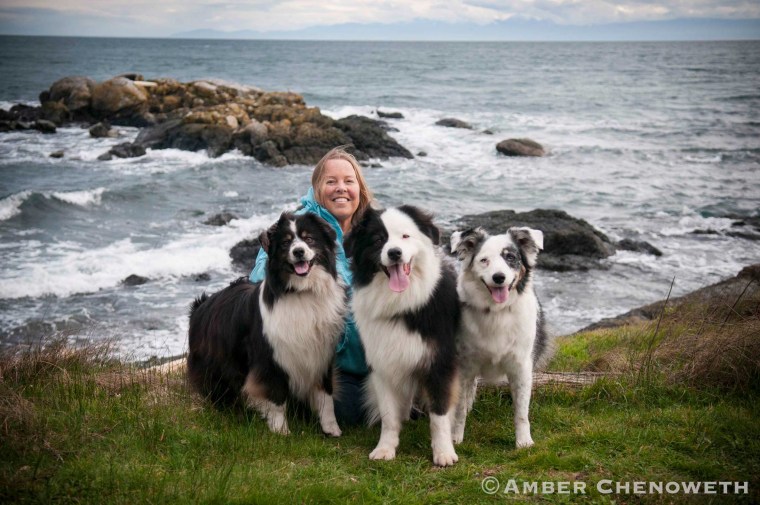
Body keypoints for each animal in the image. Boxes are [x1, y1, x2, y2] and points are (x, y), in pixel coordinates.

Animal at [189, 211, 346, 436]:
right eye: (285, 243)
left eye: (309, 238)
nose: (298, 252)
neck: (301, 292)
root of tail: (201, 305)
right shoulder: (270, 356)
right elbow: (276, 396)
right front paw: (281, 431)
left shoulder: (322, 355)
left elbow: (326, 396)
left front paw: (332, 429)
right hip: (216, 363)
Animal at [346, 205, 460, 464]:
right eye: (378, 240)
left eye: (406, 236)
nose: (395, 253)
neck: (402, 304)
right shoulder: (382, 364)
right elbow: (389, 416)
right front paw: (386, 448)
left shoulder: (439, 362)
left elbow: (439, 415)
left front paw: (443, 451)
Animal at [448, 226, 548, 446]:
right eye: (484, 260)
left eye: (510, 257)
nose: (499, 277)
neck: (497, 312)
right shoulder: (464, 365)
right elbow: (459, 409)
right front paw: (456, 438)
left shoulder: (521, 366)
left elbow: (521, 411)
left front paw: (524, 442)